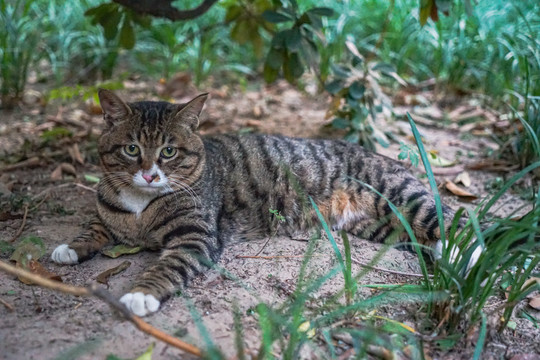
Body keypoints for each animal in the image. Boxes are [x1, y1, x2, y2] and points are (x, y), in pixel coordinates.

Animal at [51, 89, 480, 316]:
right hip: (383, 226)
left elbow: (167, 267)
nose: (150, 175)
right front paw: (71, 247)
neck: (142, 204)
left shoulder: (195, 238)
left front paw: (141, 293)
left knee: (461, 227)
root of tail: (381, 155)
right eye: (131, 149)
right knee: (427, 240)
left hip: (405, 199)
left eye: (169, 152)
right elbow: (93, 227)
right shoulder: (107, 213)